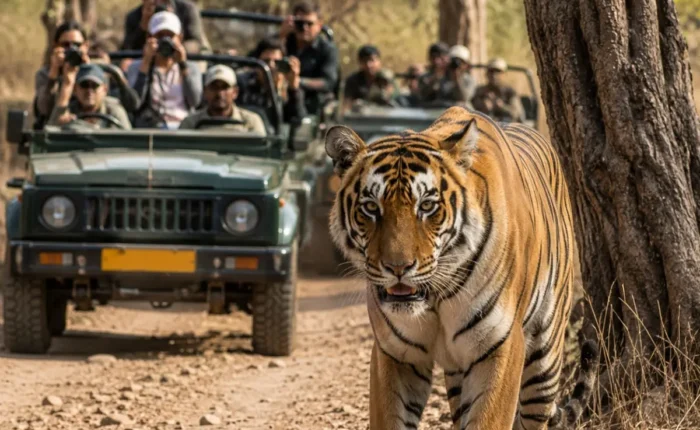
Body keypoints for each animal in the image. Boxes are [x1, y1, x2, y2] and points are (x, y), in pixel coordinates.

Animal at [324, 106, 598, 430]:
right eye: (370, 207)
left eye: (427, 206)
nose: (398, 267)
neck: (434, 297)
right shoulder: (395, 353)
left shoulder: (501, 346)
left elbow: (490, 420)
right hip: (457, 374)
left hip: (545, 361)